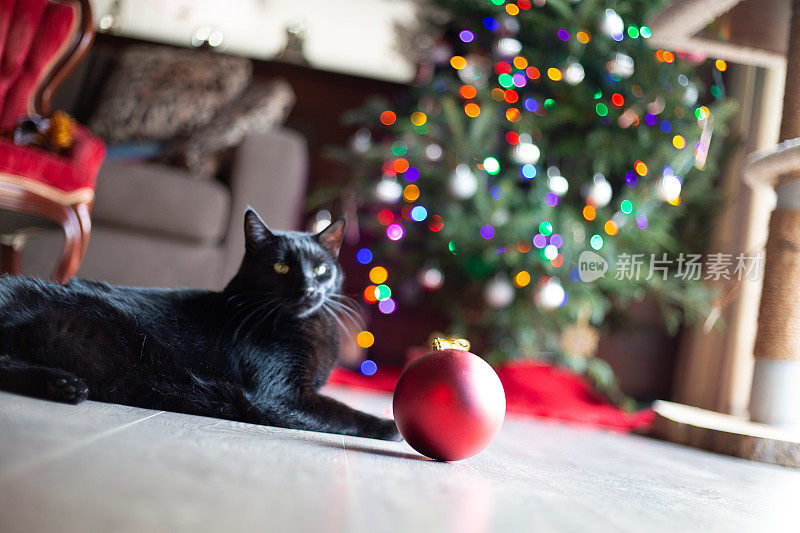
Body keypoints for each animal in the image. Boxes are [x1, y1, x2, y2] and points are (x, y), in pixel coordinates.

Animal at [0, 210, 400, 438]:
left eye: (320, 270)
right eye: (281, 268)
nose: (308, 289)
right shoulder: (279, 396)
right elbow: (342, 411)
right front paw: (390, 427)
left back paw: (63, 385)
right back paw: (65, 385)